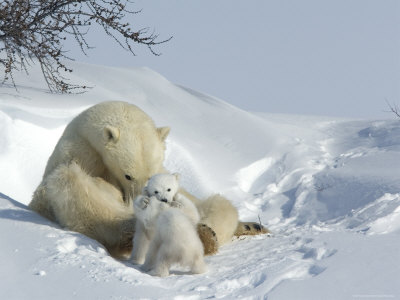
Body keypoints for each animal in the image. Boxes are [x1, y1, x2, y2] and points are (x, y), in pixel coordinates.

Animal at [29, 101, 268, 258]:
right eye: (128, 175)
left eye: (152, 174)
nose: (140, 199)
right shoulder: (80, 156)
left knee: (218, 205)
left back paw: (242, 227)